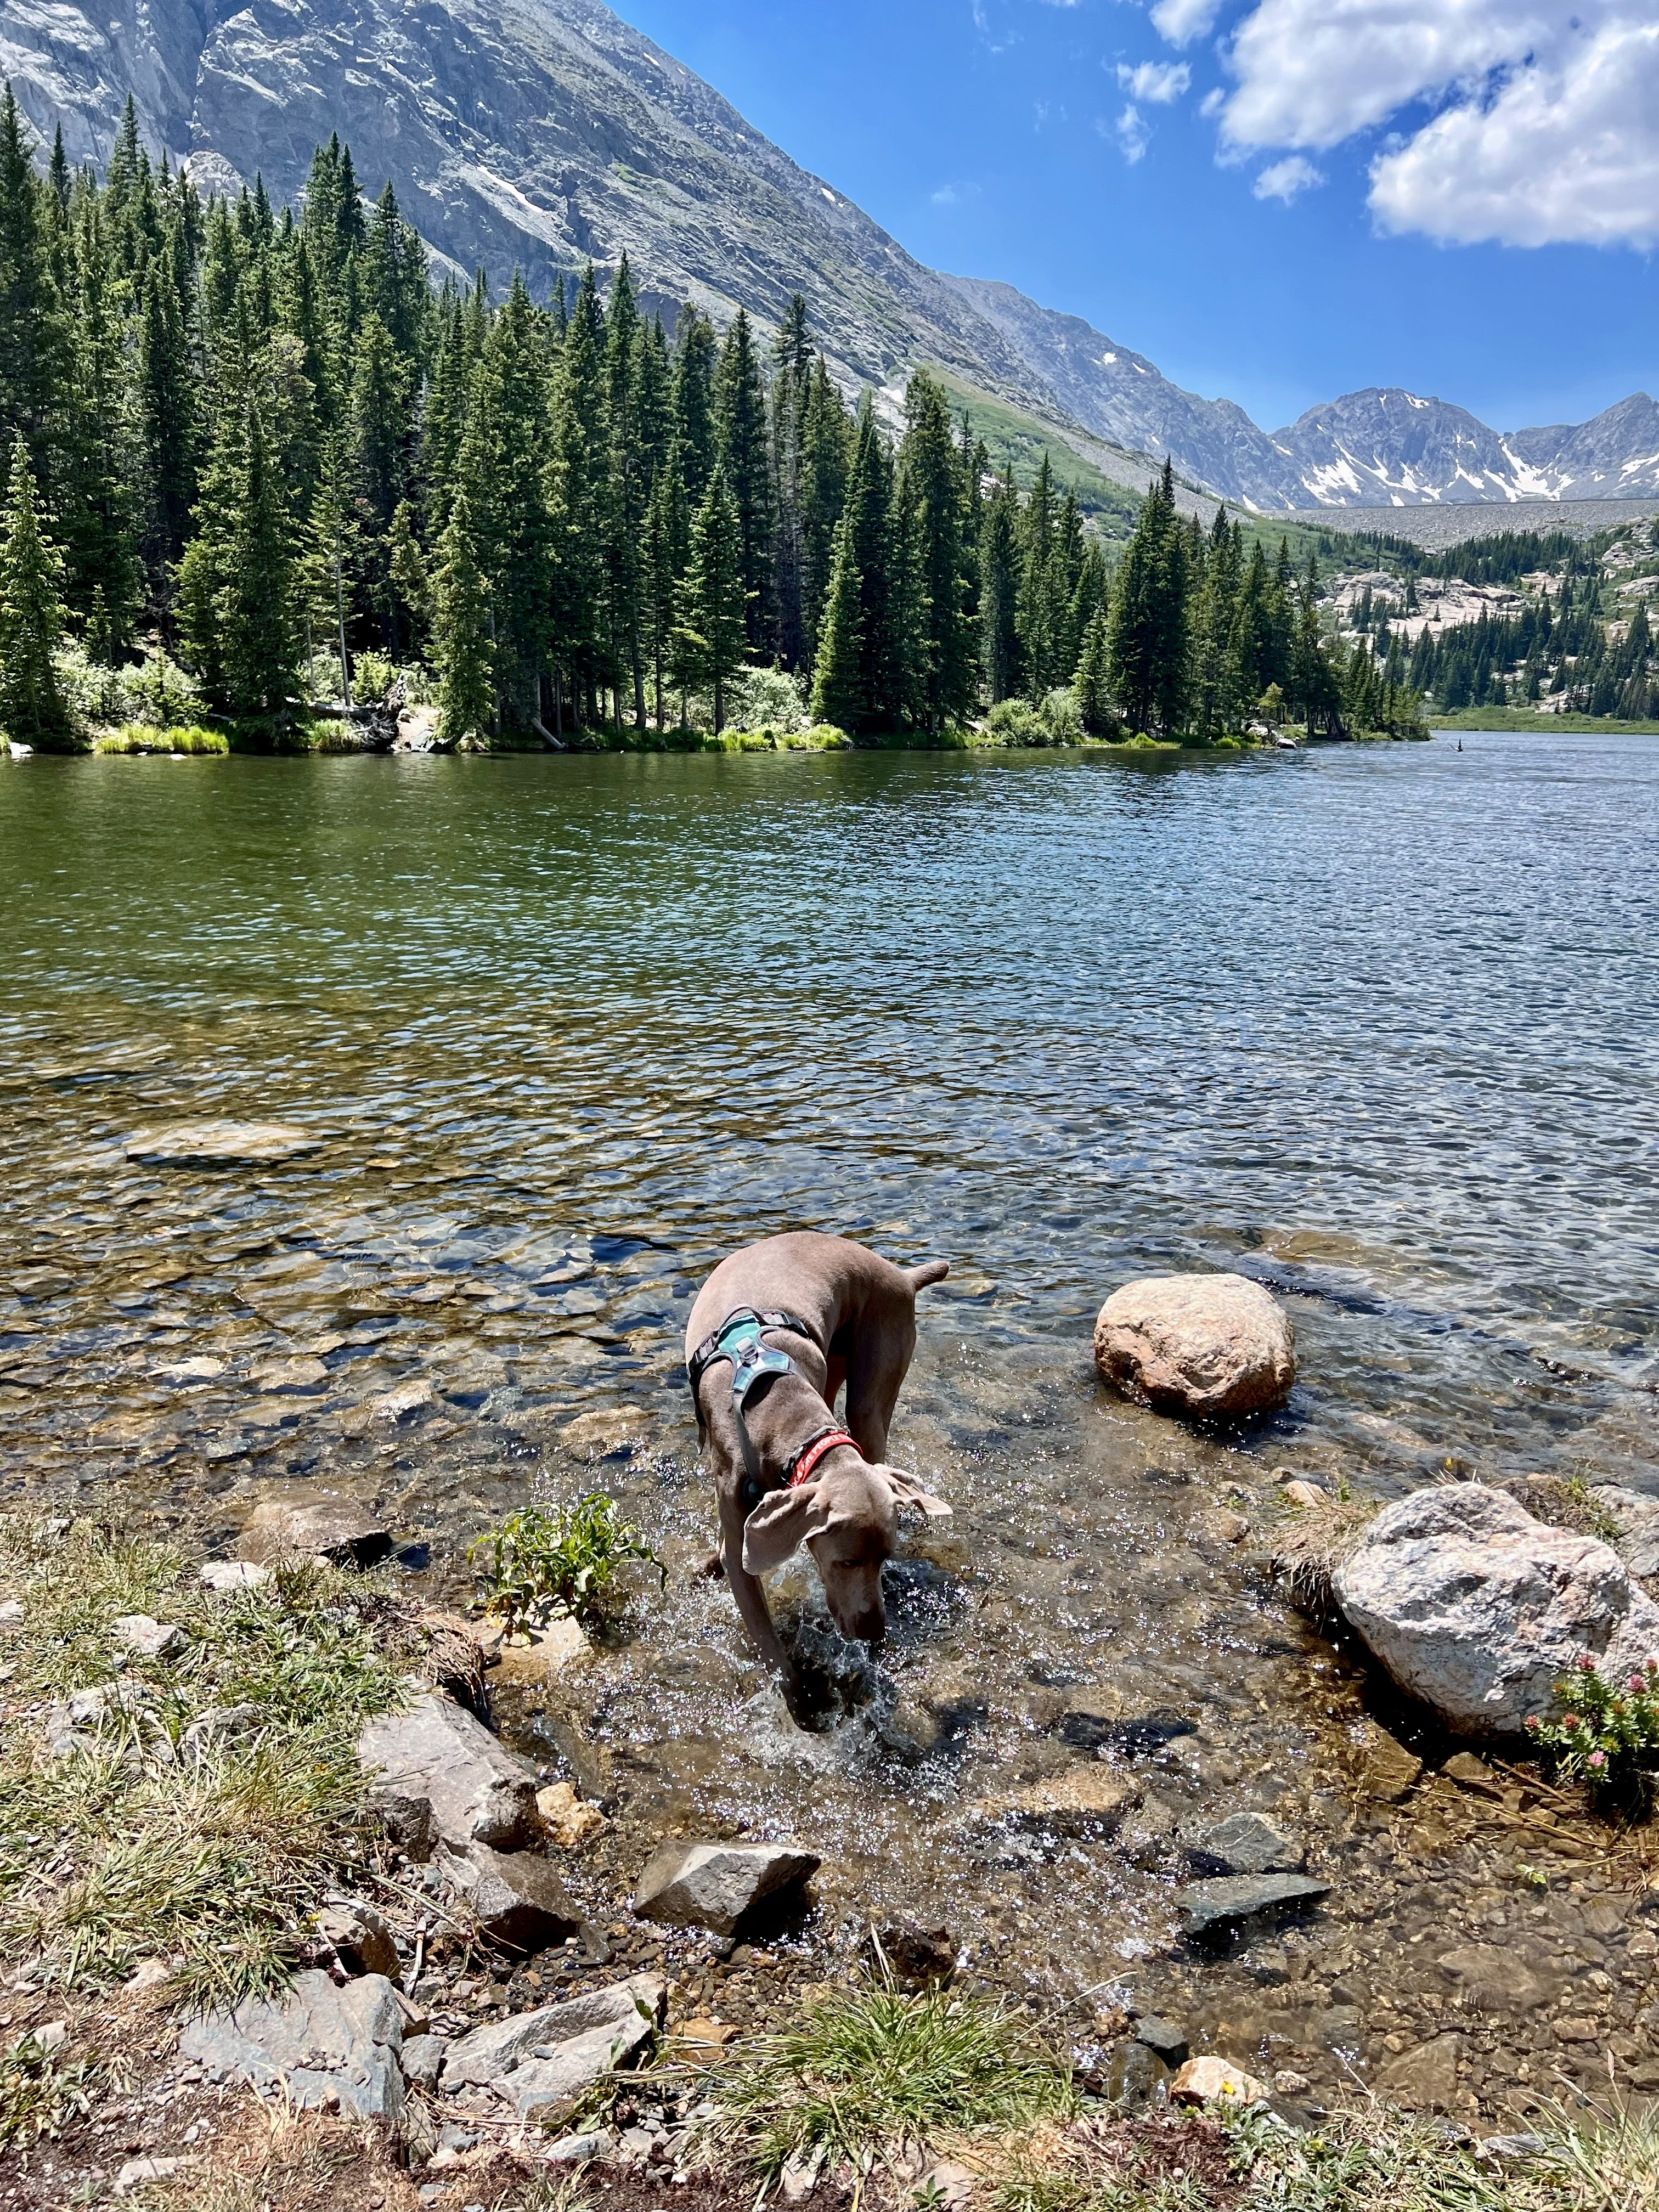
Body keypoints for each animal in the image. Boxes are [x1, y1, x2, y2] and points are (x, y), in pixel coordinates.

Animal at [685, 1238, 946, 1699]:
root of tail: (900, 1274)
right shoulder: (739, 1538)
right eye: (846, 1563)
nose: (875, 1634)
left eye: (886, 1557)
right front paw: (802, 1699)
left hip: (870, 1379)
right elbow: (771, 1647)